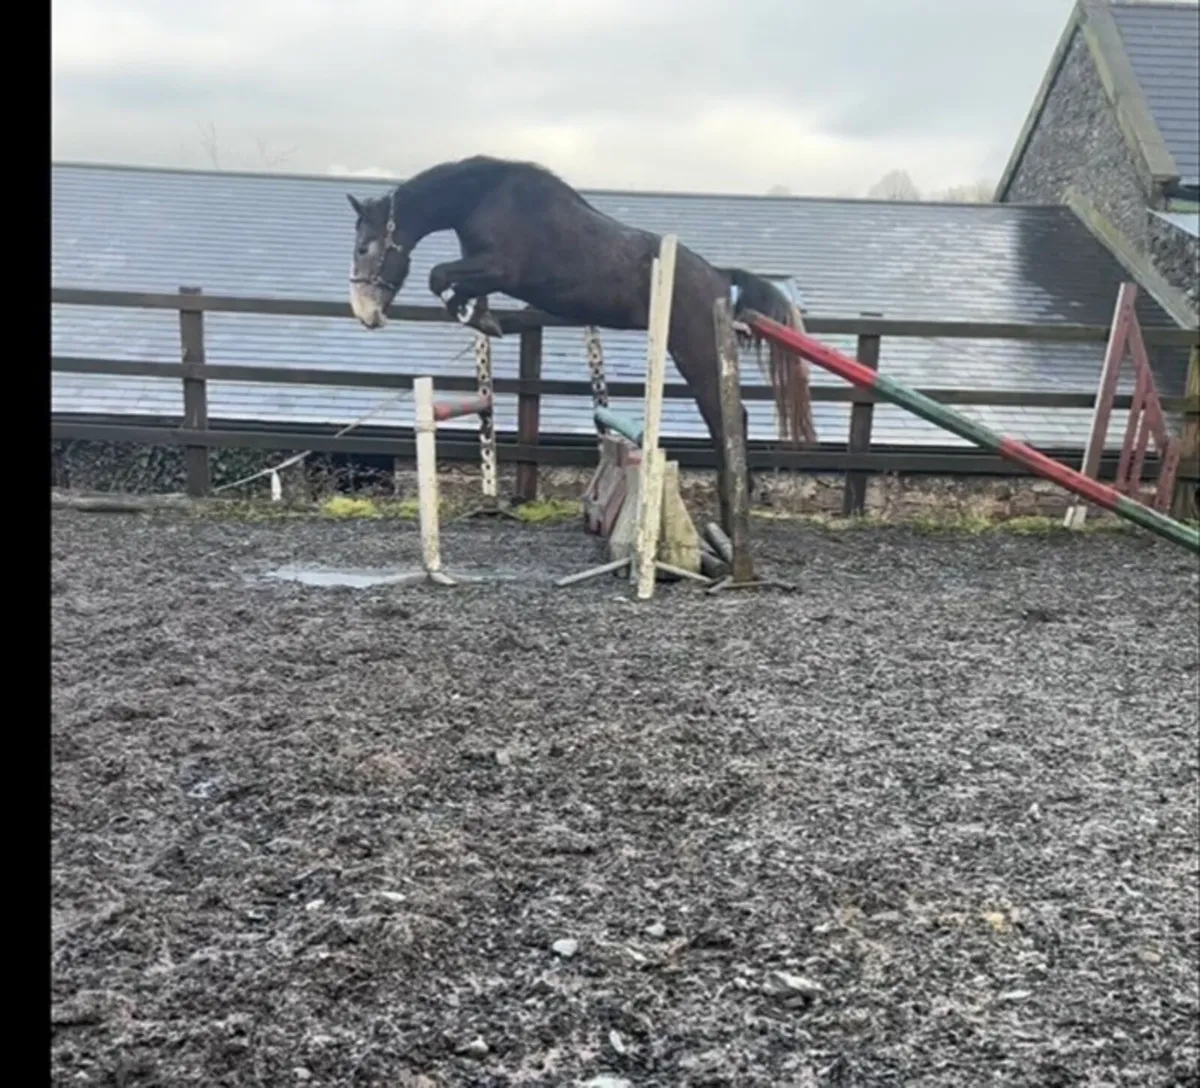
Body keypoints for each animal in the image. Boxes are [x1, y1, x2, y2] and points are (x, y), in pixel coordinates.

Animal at [345, 154, 816, 535]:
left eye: (364, 248)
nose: (366, 314)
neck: (483, 199)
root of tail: (719, 277)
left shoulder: (498, 269)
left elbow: (438, 276)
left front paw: (478, 317)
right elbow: (451, 284)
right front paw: (486, 318)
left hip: (694, 352)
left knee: (726, 418)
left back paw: (734, 504)